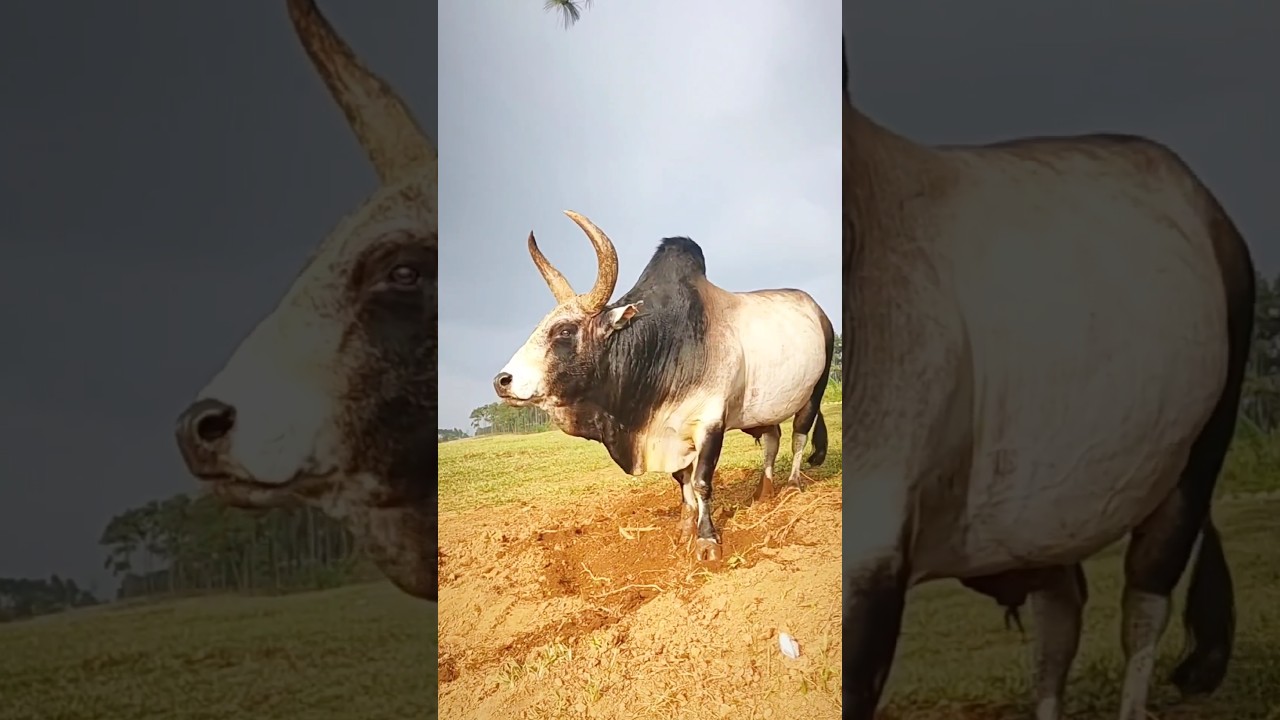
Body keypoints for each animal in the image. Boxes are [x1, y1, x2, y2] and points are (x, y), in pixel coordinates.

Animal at [493, 212, 834, 561]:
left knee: (797, 435)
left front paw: (707, 540)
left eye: (564, 330)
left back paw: (792, 486)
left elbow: (701, 481)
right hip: (758, 412)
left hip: (815, 390)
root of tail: (817, 309)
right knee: (772, 438)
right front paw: (685, 526)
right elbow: (681, 478)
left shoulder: (710, 422)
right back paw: (764, 493)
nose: (503, 381)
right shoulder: (670, 432)